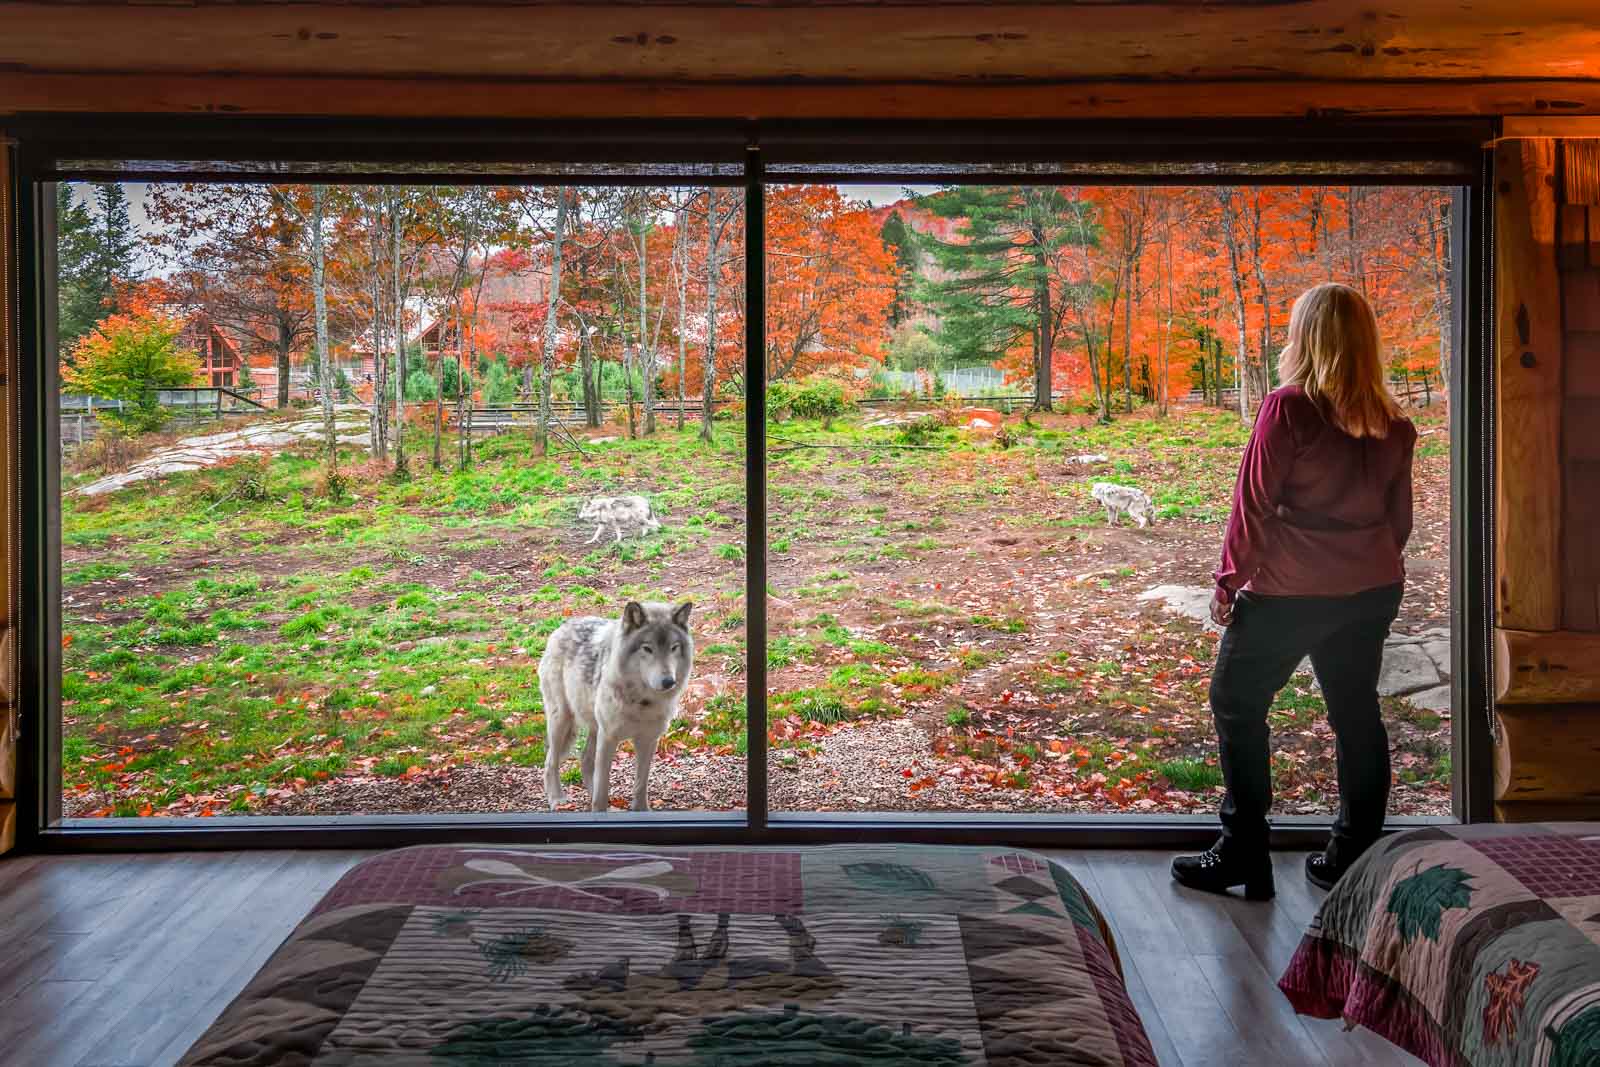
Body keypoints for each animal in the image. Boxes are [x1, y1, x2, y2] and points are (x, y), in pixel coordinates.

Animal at [540, 598, 691, 812]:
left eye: (674, 647)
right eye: (647, 648)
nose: (669, 681)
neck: (642, 702)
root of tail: (564, 625)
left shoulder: (647, 740)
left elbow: (640, 784)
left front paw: (640, 810)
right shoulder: (609, 737)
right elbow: (602, 787)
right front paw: (599, 810)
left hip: (593, 727)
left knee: (585, 761)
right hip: (561, 720)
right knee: (550, 762)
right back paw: (557, 799)